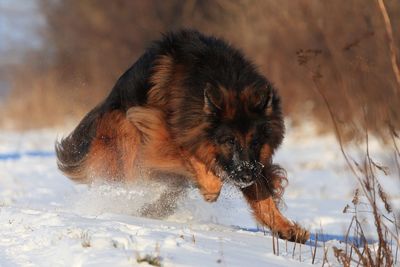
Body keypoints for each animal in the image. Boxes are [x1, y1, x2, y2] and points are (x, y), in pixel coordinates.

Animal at [55, 30, 310, 244]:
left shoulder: (252, 162)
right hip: (127, 134)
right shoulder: (157, 129)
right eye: (229, 141)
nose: (246, 175)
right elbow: (191, 157)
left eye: (256, 141)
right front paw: (210, 187)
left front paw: (286, 228)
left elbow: (264, 198)